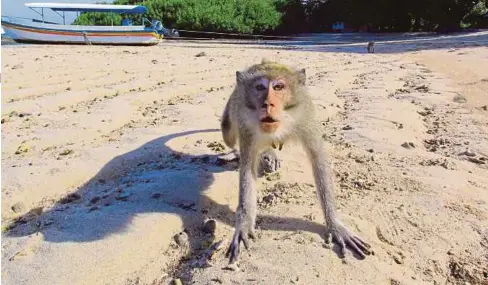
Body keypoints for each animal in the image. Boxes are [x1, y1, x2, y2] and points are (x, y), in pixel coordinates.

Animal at [220, 58, 370, 262]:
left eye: (279, 87)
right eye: (260, 87)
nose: (267, 104)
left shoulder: (306, 117)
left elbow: (318, 160)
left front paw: (335, 225)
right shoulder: (246, 124)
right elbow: (247, 169)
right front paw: (243, 226)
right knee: (227, 131)